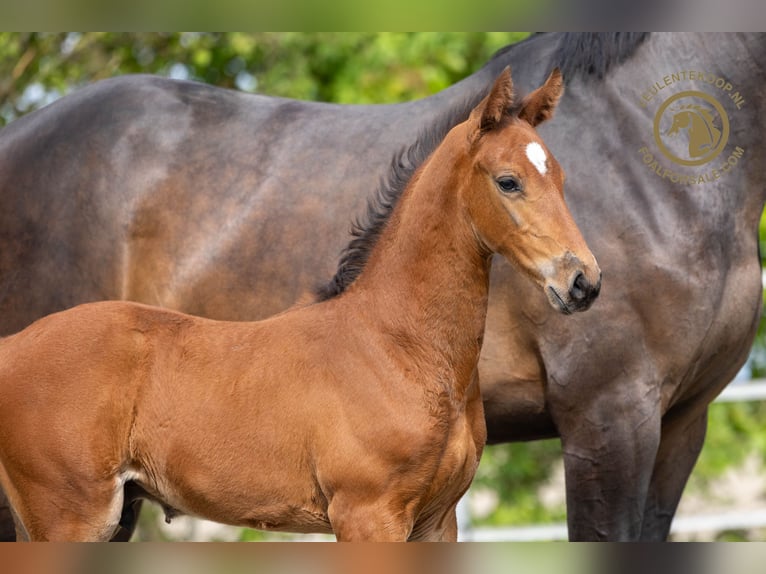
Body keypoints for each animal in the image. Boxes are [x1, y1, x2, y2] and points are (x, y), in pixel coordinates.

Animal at [0, 33, 764, 544]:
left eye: (564, 177)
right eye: (508, 180)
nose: (581, 281)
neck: (392, 343)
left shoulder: (438, 519)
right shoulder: (374, 512)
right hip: (67, 517)